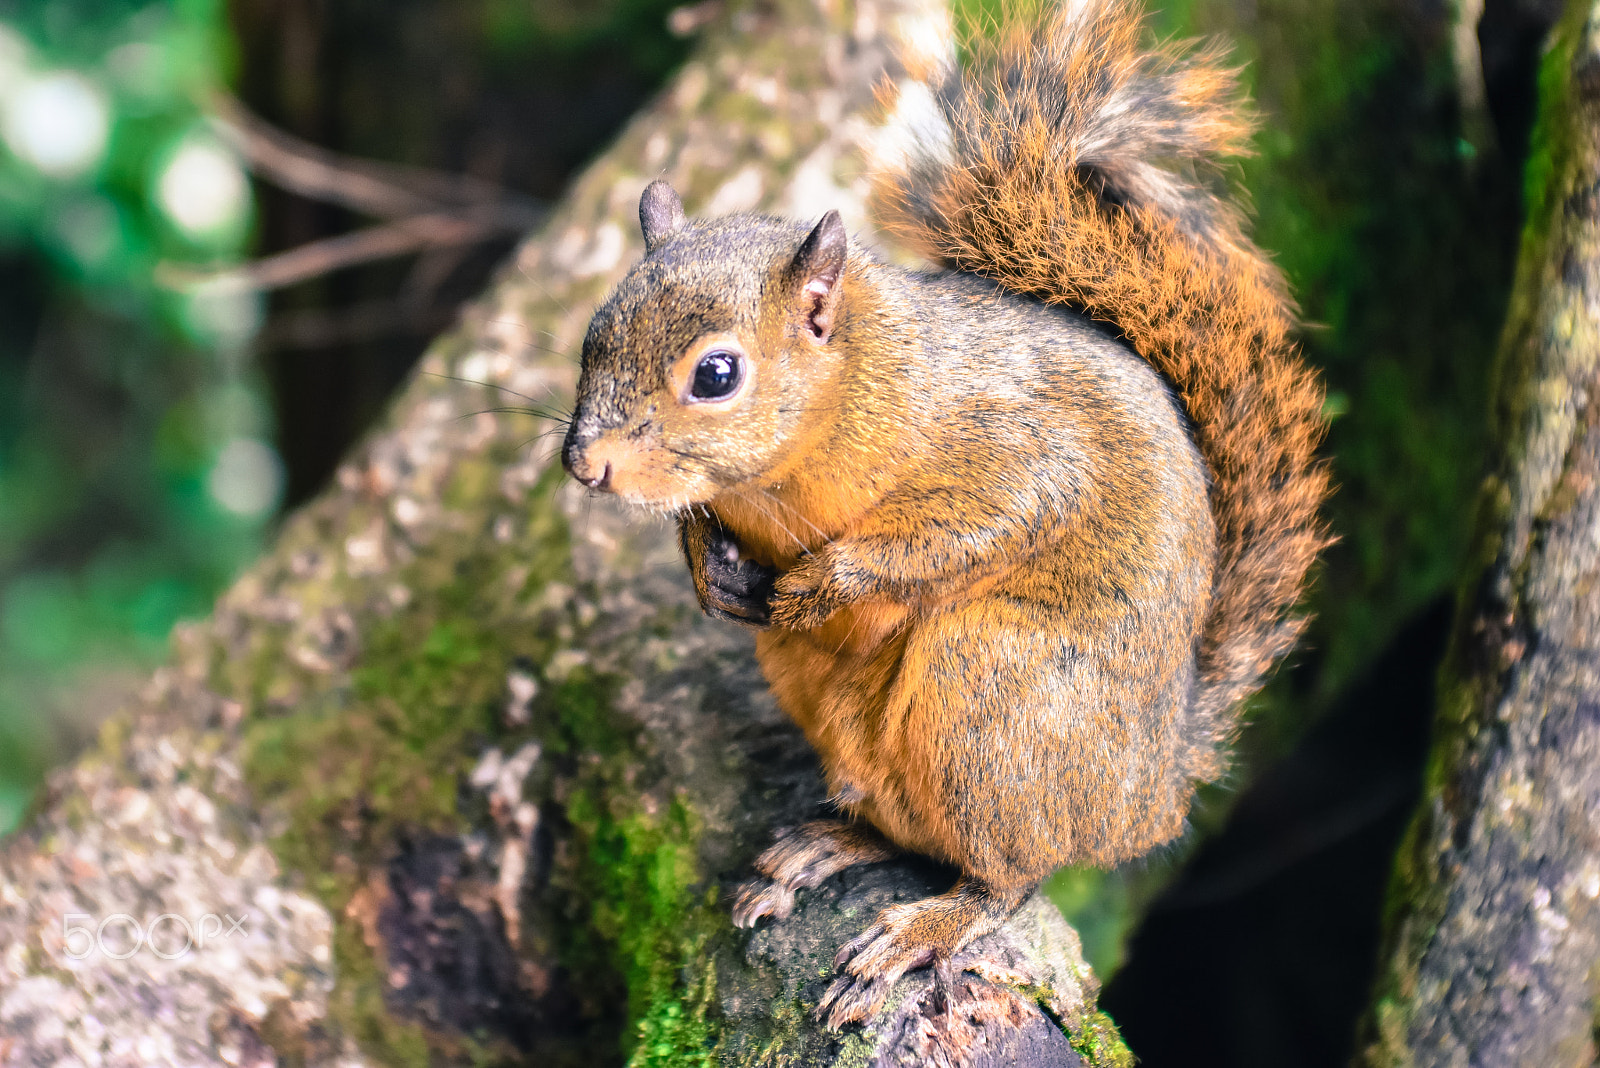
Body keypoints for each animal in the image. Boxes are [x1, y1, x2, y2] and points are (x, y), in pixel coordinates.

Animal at [563, 0, 1324, 1029]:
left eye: (716, 374)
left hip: (992, 691)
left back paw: (929, 925)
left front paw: (830, 579)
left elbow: (987, 519)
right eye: (592, 336)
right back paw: (831, 844)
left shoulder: (1014, 448)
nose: (584, 464)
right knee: (912, 829)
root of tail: (1153, 791)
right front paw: (702, 565)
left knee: (1010, 873)